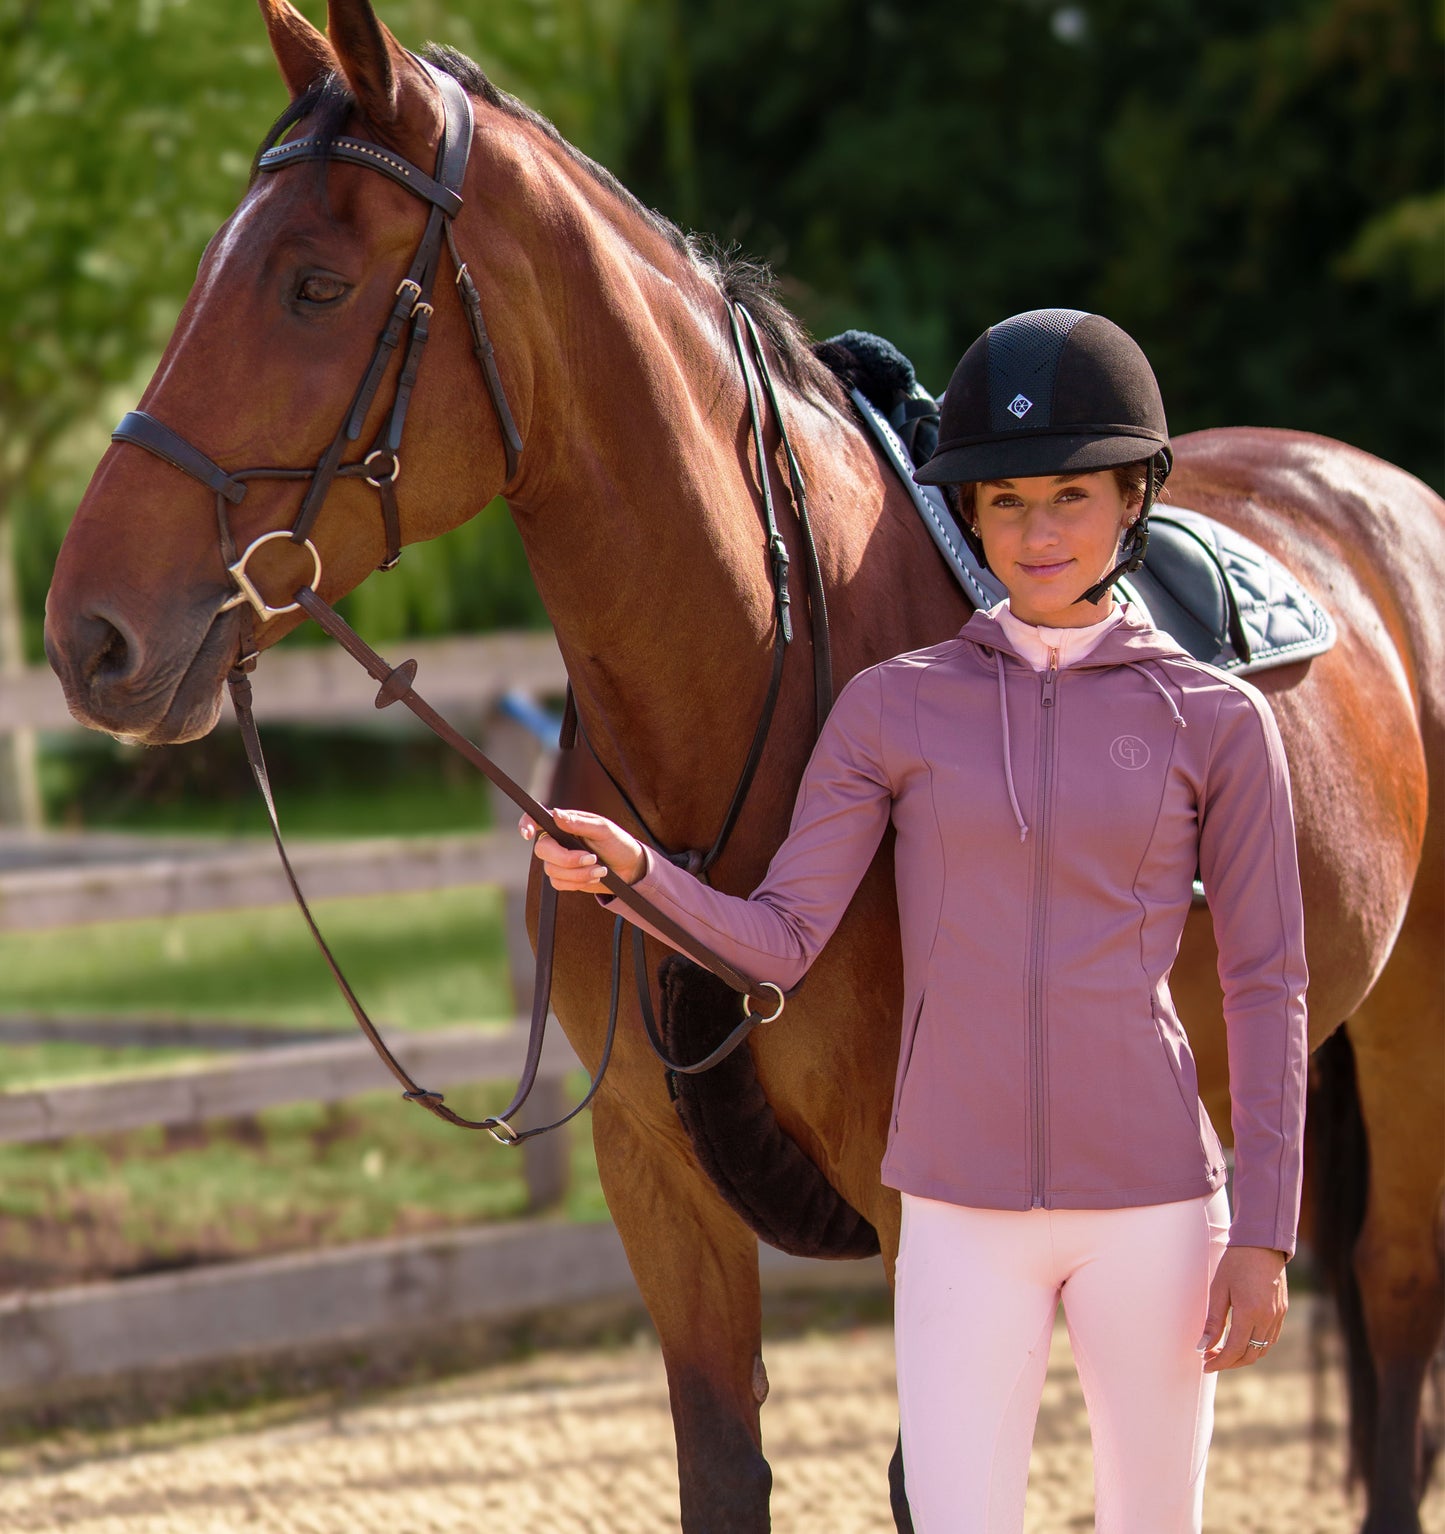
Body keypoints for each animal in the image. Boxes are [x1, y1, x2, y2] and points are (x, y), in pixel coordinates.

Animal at [43, 4, 1443, 1529]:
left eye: (314, 284)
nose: (87, 633)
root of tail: (1376, 495)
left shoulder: (923, 1207)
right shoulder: (660, 1190)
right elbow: (721, 1469)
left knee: (1392, 1300)